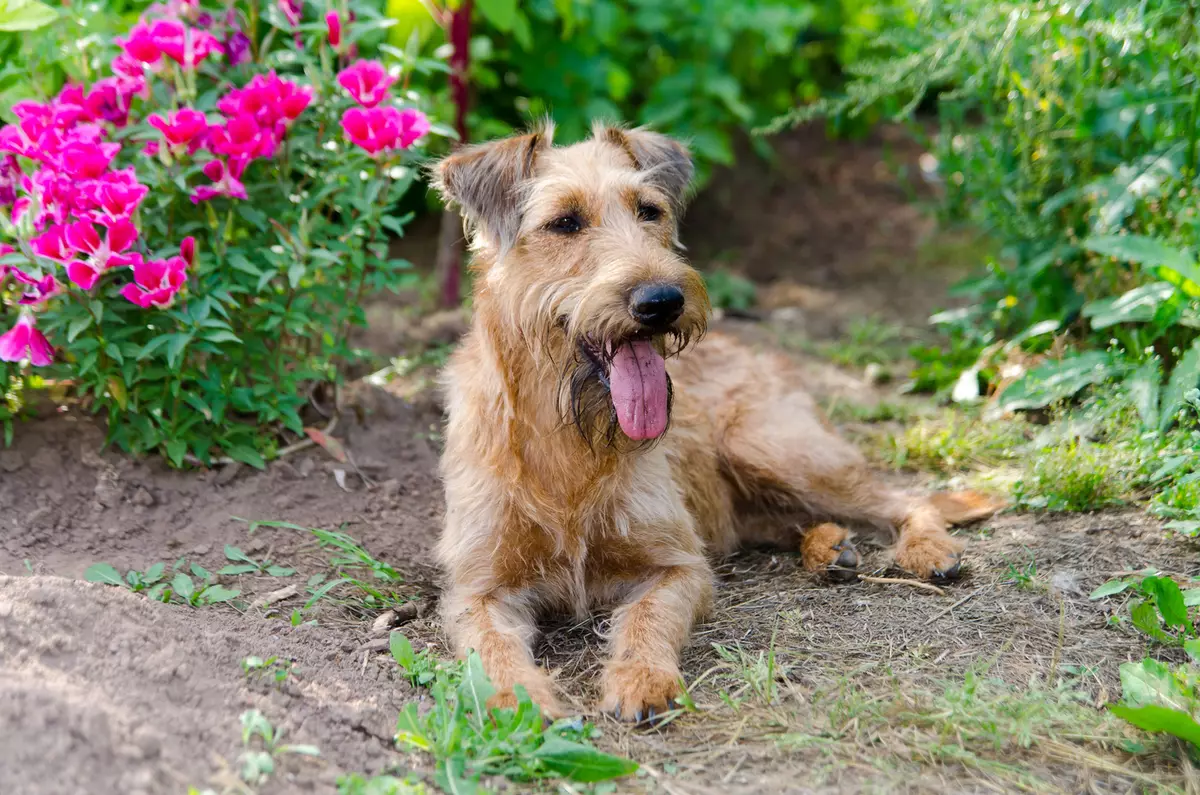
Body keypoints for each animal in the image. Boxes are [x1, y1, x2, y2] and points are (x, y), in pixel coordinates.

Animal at [427, 123, 998, 720]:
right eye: (565, 222)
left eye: (649, 211)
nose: (662, 300)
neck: (568, 441)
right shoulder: (477, 589)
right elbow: (489, 647)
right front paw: (517, 701)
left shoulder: (678, 566)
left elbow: (647, 619)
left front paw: (642, 677)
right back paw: (829, 548)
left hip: (773, 450)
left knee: (905, 498)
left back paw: (924, 549)